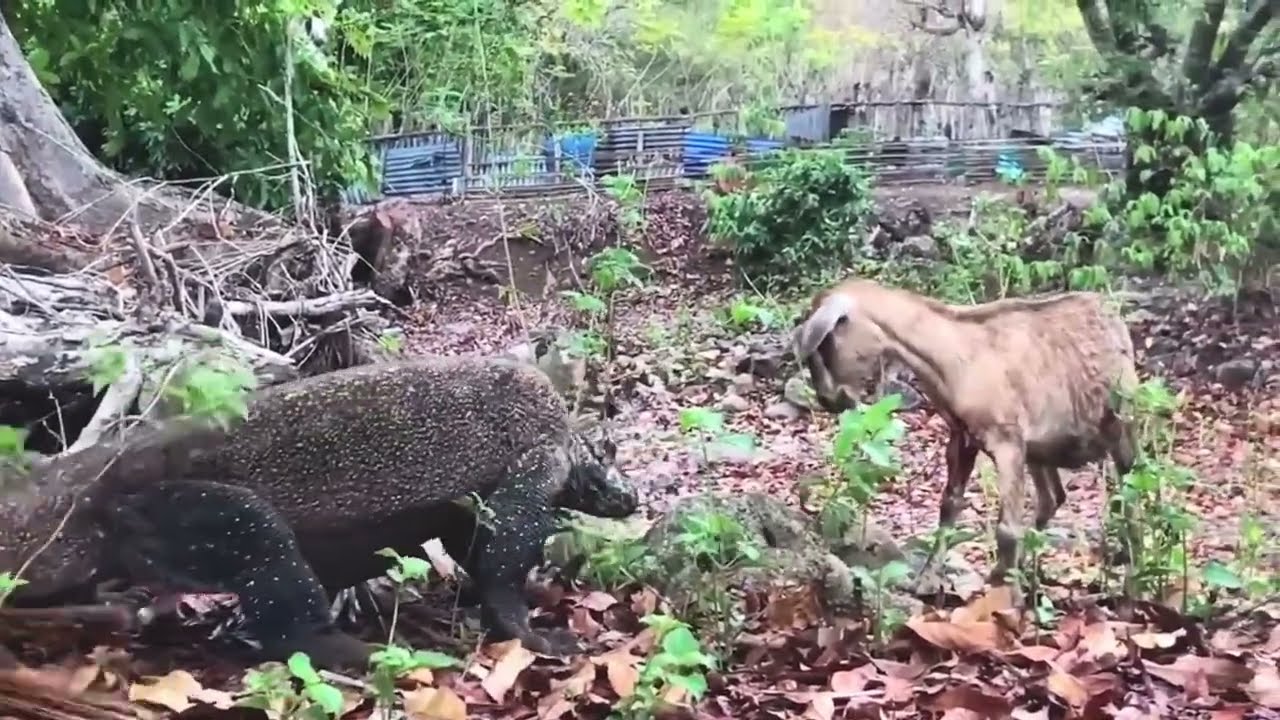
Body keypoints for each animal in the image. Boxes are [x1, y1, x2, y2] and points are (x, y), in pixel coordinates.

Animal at [792, 278, 1139, 596]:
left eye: (826, 343)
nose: (828, 400)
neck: (955, 357)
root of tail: (1109, 311)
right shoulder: (962, 438)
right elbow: (949, 507)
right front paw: (927, 581)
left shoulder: (1008, 442)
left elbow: (1007, 530)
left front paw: (1008, 602)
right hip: (1041, 448)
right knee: (1052, 498)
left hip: (1123, 422)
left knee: (1130, 492)